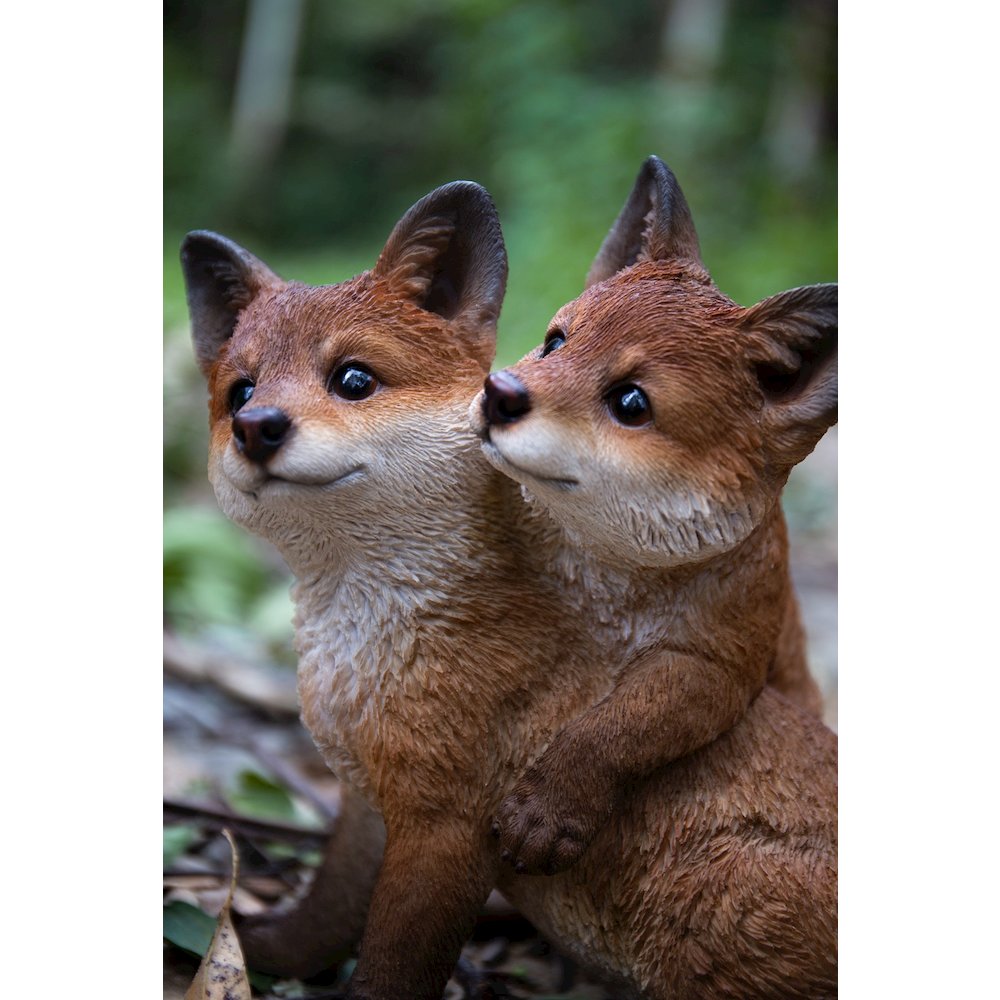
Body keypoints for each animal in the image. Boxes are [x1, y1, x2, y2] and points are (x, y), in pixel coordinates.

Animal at [181, 165, 836, 999]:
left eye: (353, 379)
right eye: (238, 391)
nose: (256, 426)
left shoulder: (449, 828)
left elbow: (392, 965)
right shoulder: (368, 802)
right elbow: (322, 917)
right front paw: (246, 945)